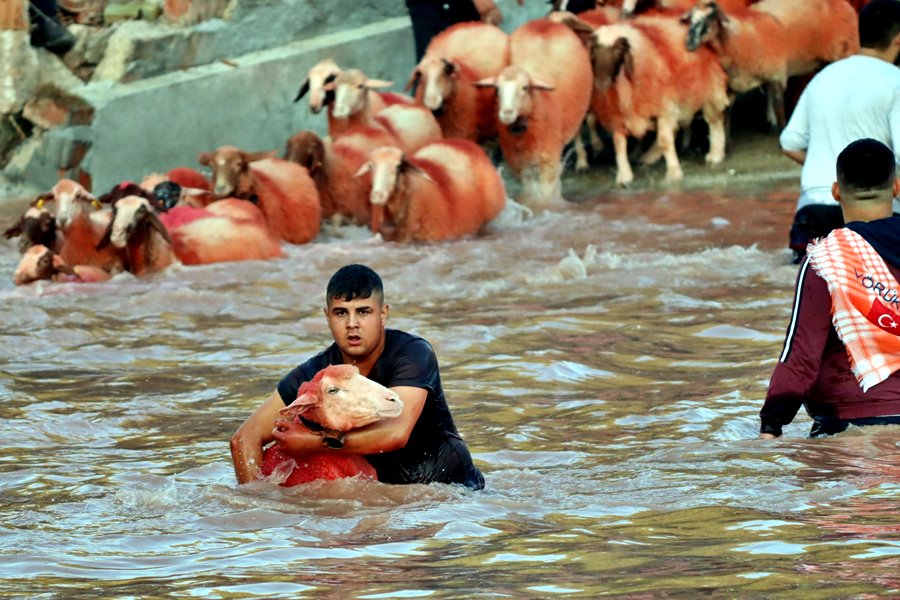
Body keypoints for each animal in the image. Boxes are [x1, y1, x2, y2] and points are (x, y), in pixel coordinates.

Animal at [474, 18, 596, 210]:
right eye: (497, 89)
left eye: (525, 88)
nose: (506, 112)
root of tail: (547, 21)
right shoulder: (517, 161)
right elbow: (529, 188)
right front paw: (528, 202)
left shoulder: (548, 159)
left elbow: (545, 191)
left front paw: (545, 206)